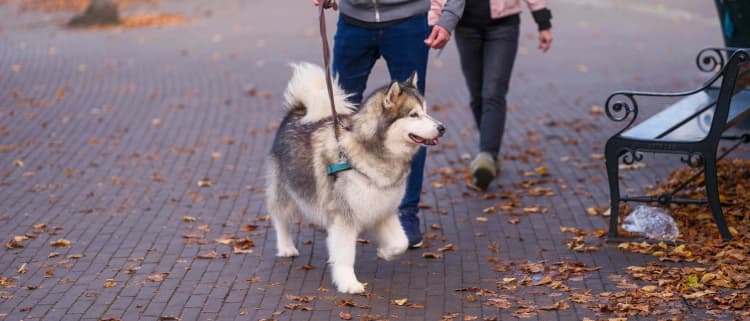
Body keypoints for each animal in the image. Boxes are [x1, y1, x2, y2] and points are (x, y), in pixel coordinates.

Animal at [266, 62, 446, 292]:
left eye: (426, 112)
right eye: (414, 115)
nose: (442, 128)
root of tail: (296, 112)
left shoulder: (383, 209)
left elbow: (401, 243)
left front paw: (385, 252)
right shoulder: (345, 217)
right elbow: (345, 254)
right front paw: (348, 283)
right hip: (287, 192)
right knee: (280, 219)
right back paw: (286, 247)